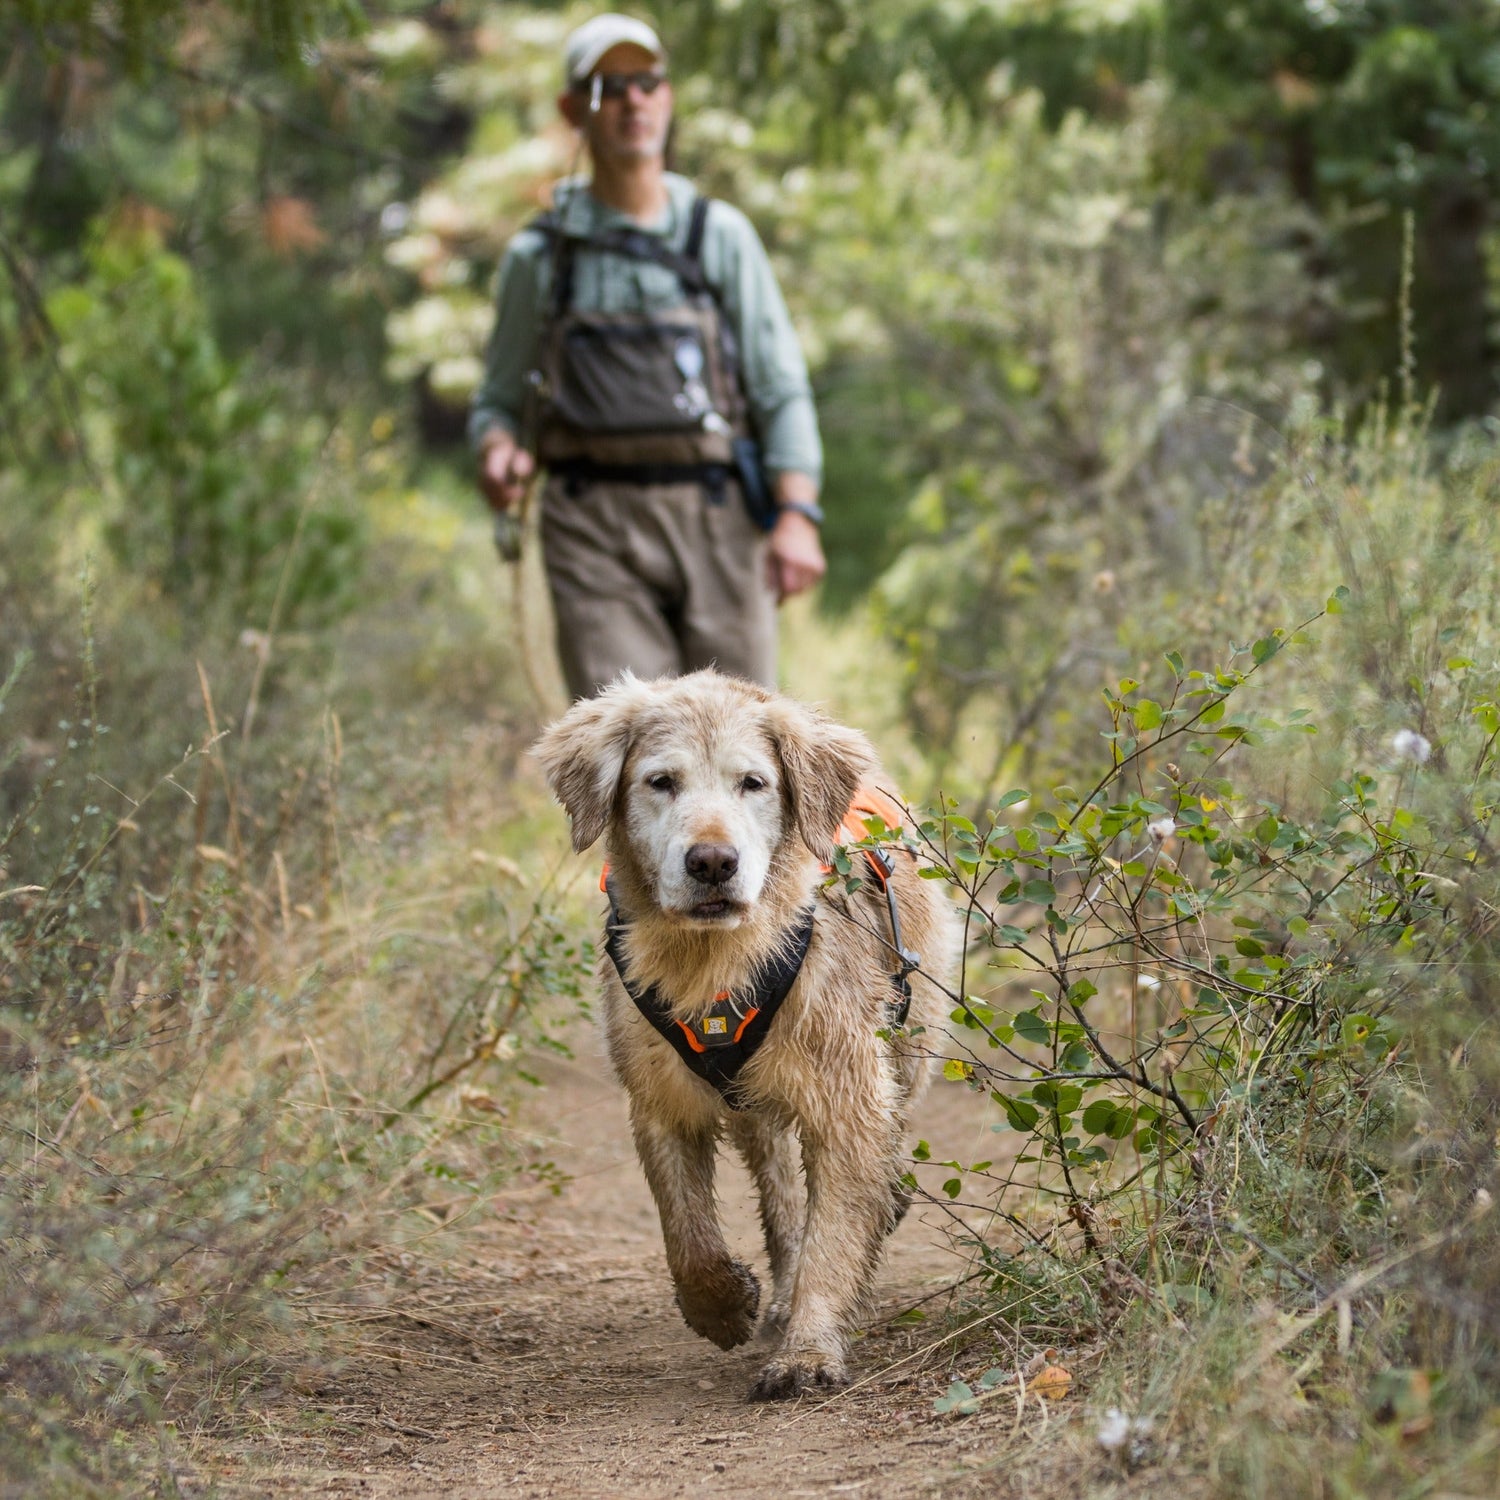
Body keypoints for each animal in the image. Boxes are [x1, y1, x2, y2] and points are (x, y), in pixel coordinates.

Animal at [537, 675, 960, 1398]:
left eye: (754, 783)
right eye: (661, 781)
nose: (712, 862)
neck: (715, 960)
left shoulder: (847, 1094)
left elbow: (834, 1235)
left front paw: (808, 1351)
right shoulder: (657, 1098)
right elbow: (686, 1232)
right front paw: (724, 1304)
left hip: (909, 1037)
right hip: (757, 1108)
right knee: (781, 1193)